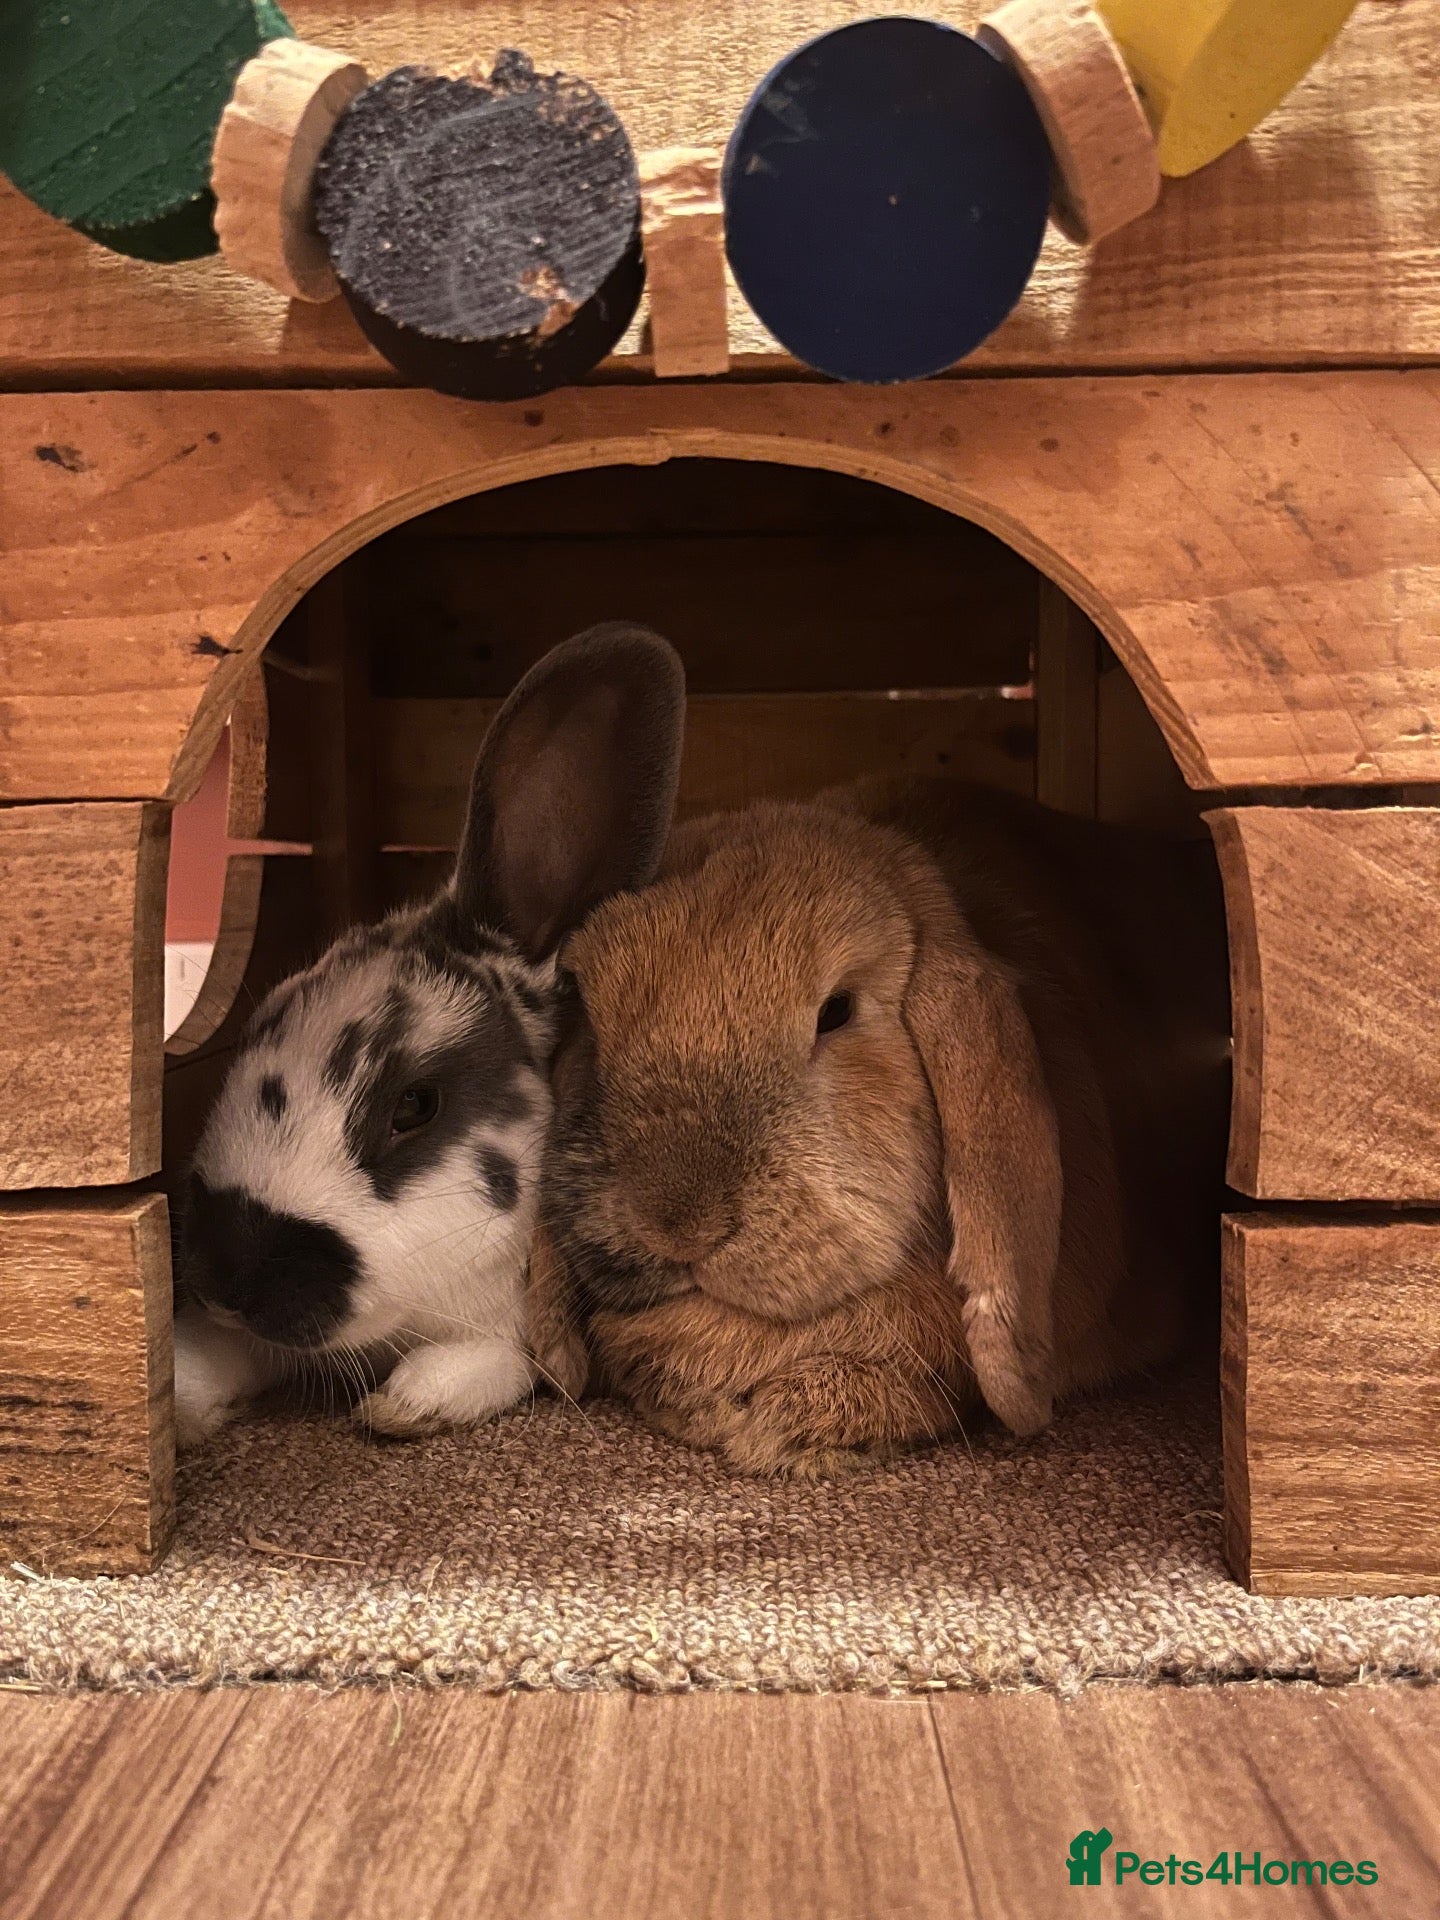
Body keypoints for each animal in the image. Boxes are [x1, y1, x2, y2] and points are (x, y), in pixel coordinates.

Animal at [172, 622, 686, 1450]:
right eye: (256, 1027)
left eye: (414, 1106)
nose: (229, 1274)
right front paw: (182, 1397)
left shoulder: (517, 1332)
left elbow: (477, 1365)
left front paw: (408, 1403)